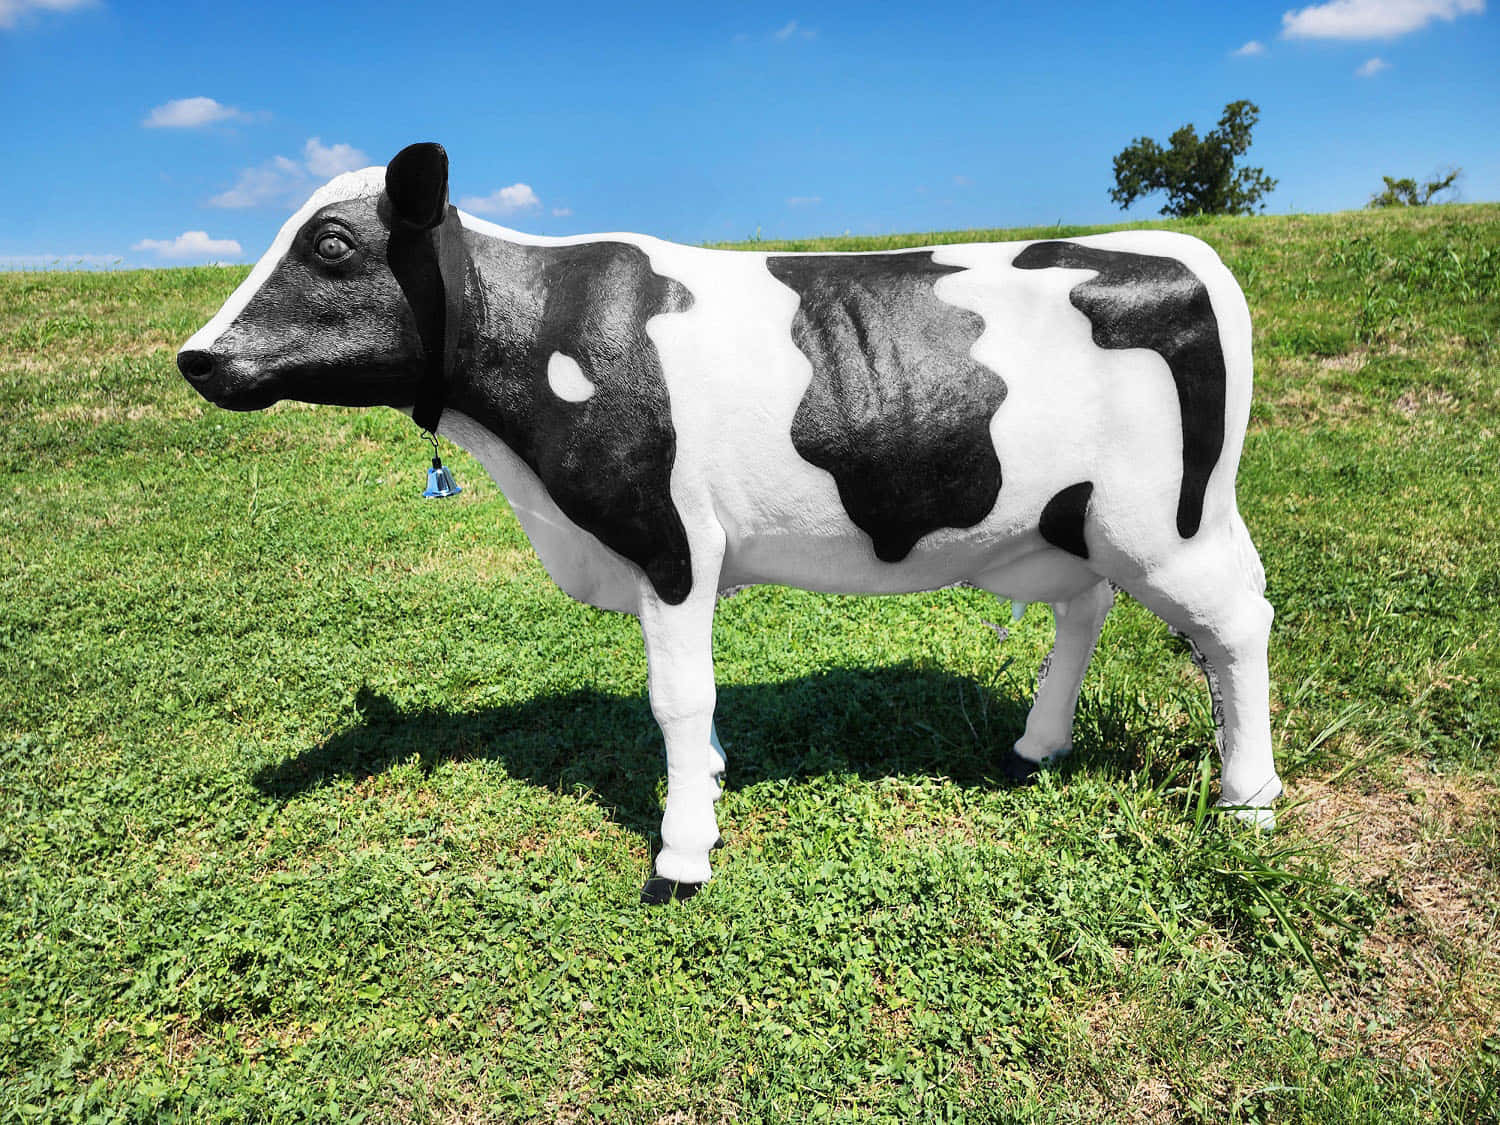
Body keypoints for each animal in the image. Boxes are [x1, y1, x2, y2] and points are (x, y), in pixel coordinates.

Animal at [178, 143, 1282, 903]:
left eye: (331, 244)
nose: (196, 356)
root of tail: (1182, 250)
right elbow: (695, 706)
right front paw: (706, 786)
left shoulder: (671, 544)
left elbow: (675, 697)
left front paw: (681, 852)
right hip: (1069, 527)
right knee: (1086, 611)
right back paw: (1035, 747)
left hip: (1168, 524)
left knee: (1237, 625)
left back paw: (1250, 800)